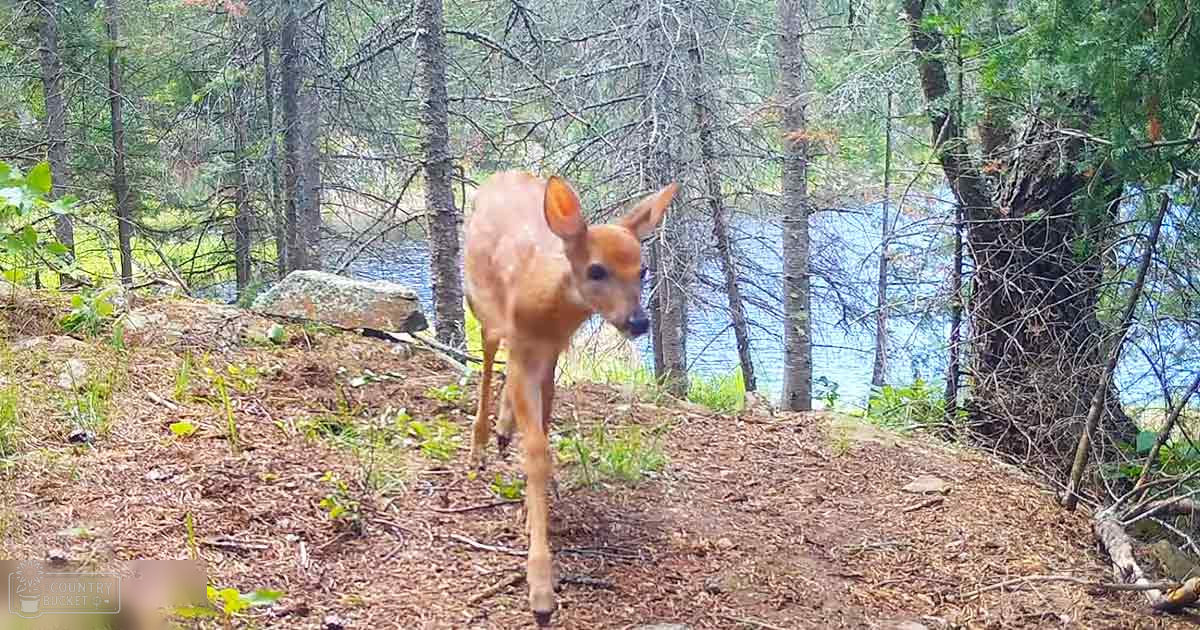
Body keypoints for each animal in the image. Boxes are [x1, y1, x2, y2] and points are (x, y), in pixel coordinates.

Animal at [463, 171, 677, 625]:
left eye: (643, 269)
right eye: (596, 269)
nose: (638, 321)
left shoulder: (550, 352)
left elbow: (543, 431)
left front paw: (534, 509)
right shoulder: (521, 342)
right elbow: (537, 451)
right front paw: (541, 590)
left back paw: (504, 428)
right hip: (481, 302)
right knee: (487, 356)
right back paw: (480, 447)